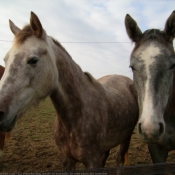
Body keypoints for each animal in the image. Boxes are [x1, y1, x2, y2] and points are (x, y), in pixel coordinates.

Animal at [0, 11, 138, 170]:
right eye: (5, 60)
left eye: (33, 60)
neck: (74, 119)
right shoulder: (67, 160)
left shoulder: (92, 161)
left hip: (126, 138)